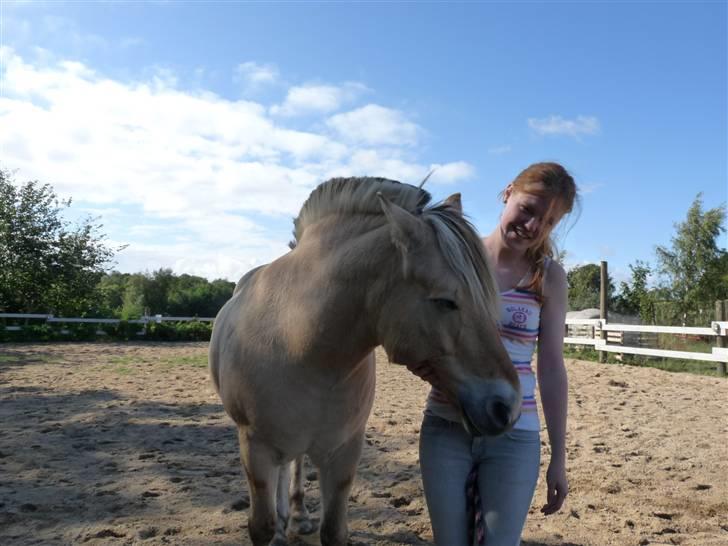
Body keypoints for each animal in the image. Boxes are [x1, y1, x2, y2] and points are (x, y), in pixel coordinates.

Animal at [208, 176, 520, 540]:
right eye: (445, 301)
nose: (507, 407)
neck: (299, 343)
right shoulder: (255, 450)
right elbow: (262, 526)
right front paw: (275, 530)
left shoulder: (343, 454)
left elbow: (332, 530)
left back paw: (296, 516)